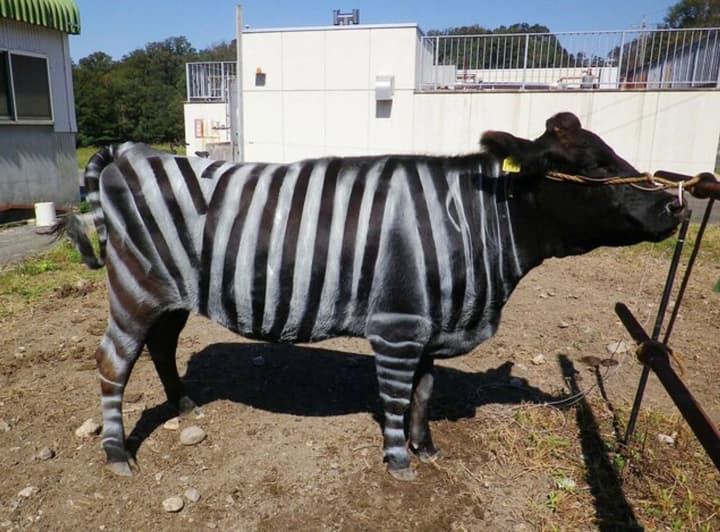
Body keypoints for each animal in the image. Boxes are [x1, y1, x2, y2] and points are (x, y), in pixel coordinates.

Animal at [59, 112, 683, 480]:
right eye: (587, 166)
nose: (675, 205)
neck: (471, 224)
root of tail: (134, 152)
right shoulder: (399, 326)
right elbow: (396, 397)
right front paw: (399, 461)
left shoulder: (432, 323)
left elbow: (425, 393)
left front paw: (427, 448)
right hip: (135, 289)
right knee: (113, 363)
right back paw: (117, 454)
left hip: (171, 294)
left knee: (161, 346)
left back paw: (186, 405)